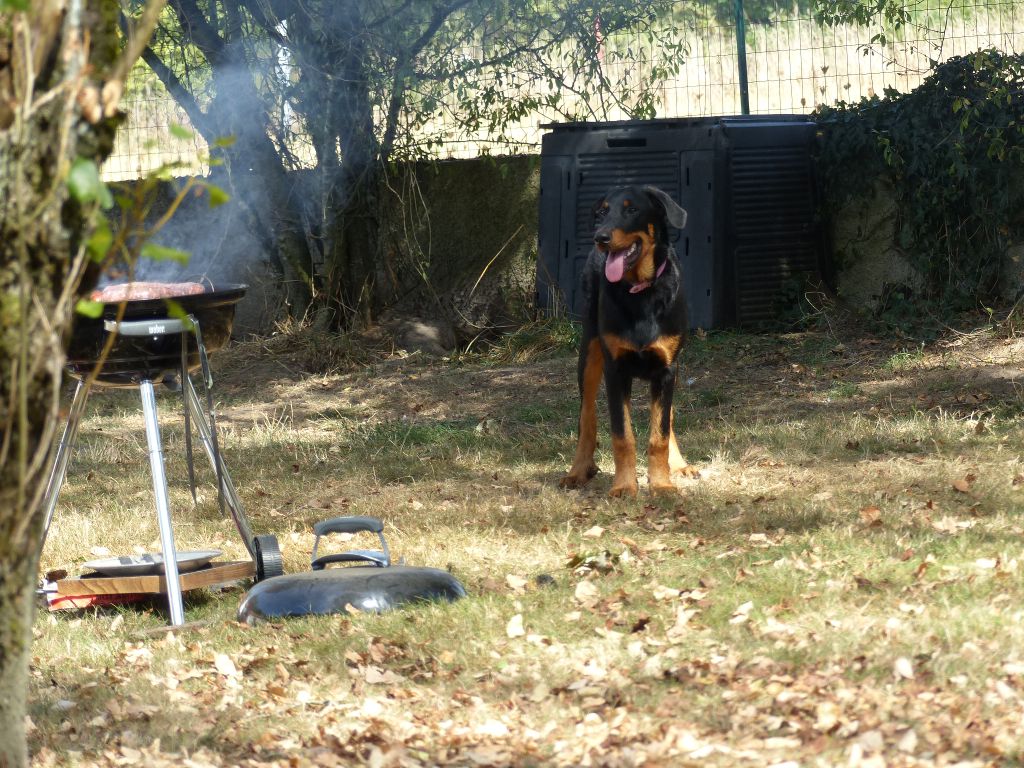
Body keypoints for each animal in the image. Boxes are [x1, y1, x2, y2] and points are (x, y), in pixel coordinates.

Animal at [559, 185, 698, 497]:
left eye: (632, 209)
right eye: (602, 212)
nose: (600, 237)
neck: (640, 292)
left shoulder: (666, 369)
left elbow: (659, 433)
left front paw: (661, 483)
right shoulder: (616, 370)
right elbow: (622, 435)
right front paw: (624, 486)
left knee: (668, 418)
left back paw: (679, 465)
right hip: (589, 353)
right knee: (586, 419)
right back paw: (578, 471)